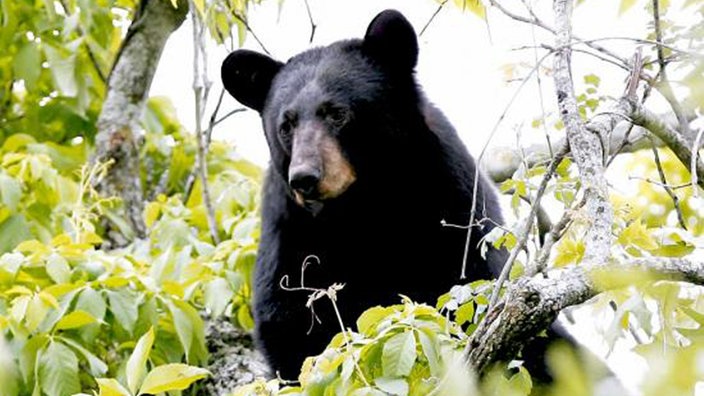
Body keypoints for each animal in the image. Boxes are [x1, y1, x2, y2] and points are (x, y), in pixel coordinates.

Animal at [220, 9, 506, 378]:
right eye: (286, 125)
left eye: (337, 113)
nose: (304, 178)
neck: (361, 209)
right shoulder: (289, 233)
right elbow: (289, 327)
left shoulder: (450, 199)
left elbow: (473, 281)